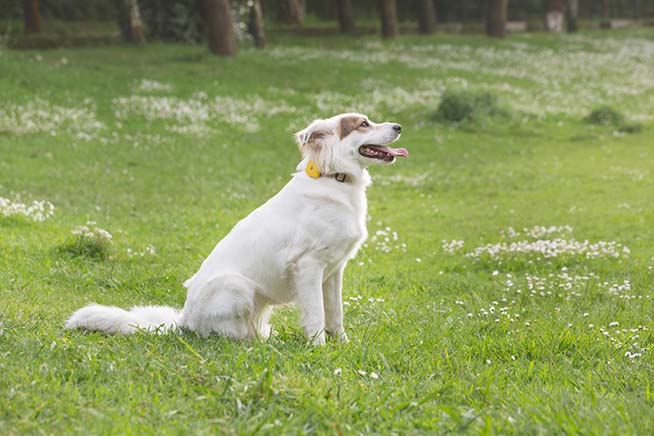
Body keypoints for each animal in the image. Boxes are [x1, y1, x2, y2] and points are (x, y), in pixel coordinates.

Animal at [64, 114, 408, 346]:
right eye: (363, 124)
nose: (398, 127)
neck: (335, 179)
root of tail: (183, 320)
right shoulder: (308, 267)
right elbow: (316, 316)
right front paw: (319, 349)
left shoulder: (334, 270)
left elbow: (335, 314)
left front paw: (343, 345)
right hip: (237, 286)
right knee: (226, 335)